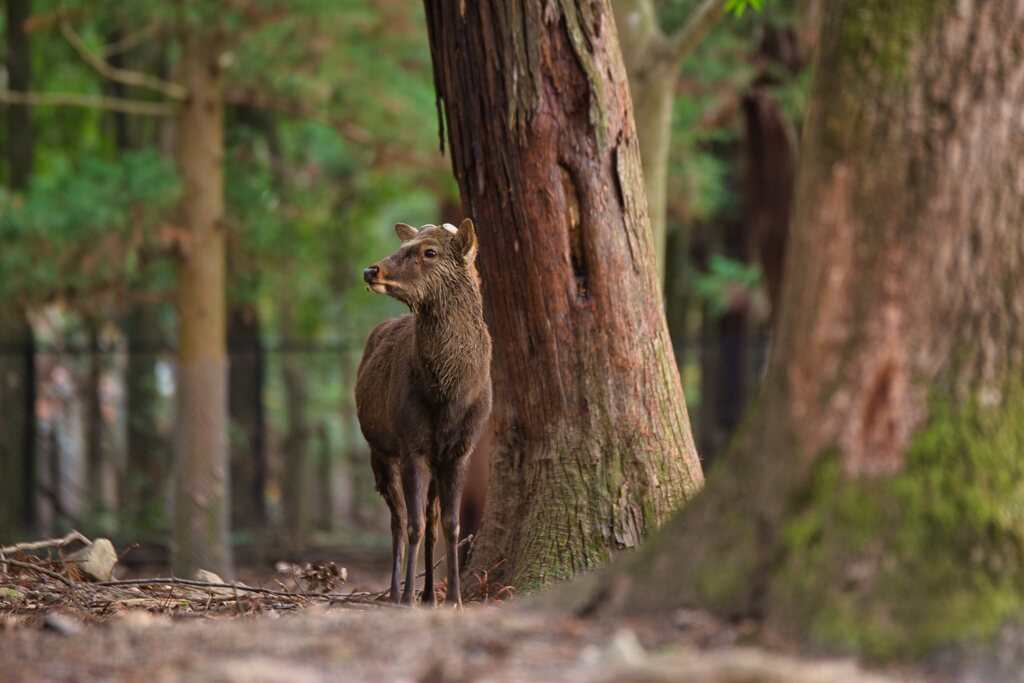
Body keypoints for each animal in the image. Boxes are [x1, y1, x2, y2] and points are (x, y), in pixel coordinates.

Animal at [356, 219, 491, 610]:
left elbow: (451, 524)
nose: (371, 270)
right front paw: (407, 599)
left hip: (432, 457)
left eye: (429, 251)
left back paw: (430, 592)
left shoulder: (460, 449)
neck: (448, 397)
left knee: (430, 520)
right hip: (380, 450)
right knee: (399, 521)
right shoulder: (411, 443)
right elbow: (413, 524)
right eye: (404, 244)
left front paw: (455, 599)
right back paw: (396, 593)